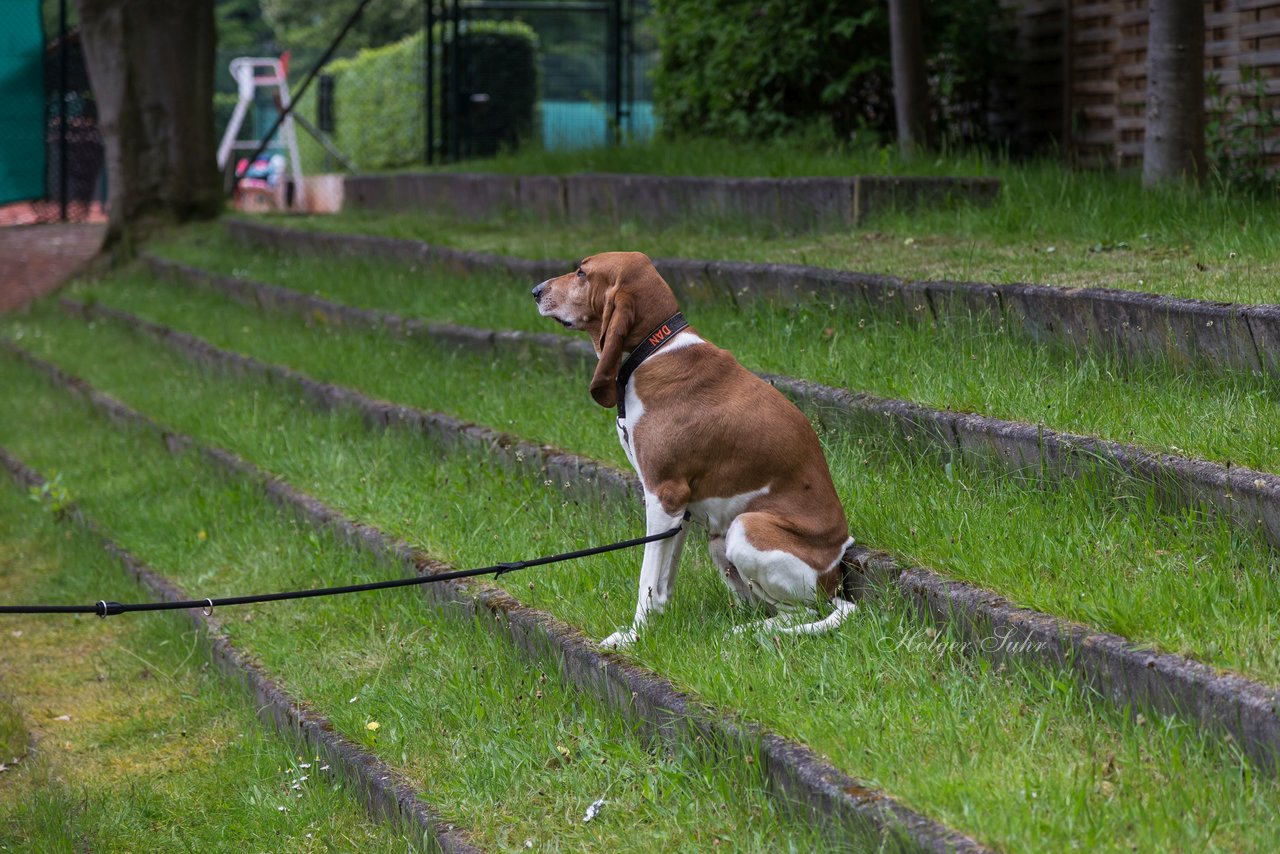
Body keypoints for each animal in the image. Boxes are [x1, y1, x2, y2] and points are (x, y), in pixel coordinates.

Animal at [535, 252, 855, 647]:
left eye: (582, 272)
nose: (536, 291)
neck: (652, 352)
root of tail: (834, 578)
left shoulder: (663, 496)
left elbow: (646, 579)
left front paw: (635, 636)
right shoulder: (679, 510)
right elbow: (661, 583)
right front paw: (655, 623)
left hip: (745, 528)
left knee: (805, 612)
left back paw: (745, 632)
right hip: (719, 541)